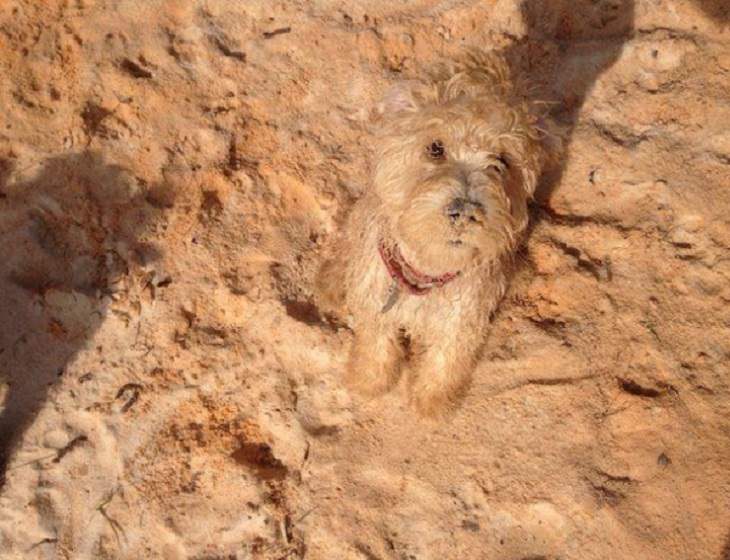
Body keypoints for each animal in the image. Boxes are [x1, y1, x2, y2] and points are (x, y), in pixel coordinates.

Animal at [314, 52, 556, 418]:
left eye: (502, 160)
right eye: (436, 147)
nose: (465, 212)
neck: (426, 273)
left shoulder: (461, 321)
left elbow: (446, 361)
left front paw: (433, 403)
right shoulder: (375, 303)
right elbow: (376, 347)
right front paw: (368, 383)